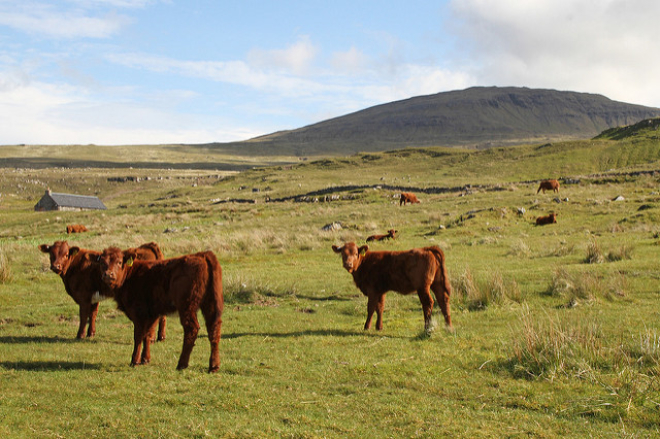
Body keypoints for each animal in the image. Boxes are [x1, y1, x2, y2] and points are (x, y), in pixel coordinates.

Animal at [38, 241, 166, 340]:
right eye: (51, 254)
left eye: (65, 255)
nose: (56, 266)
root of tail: (148, 245)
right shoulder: (94, 296)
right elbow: (93, 314)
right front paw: (91, 333)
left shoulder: (84, 296)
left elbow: (83, 315)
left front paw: (80, 335)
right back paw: (161, 337)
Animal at [95, 249, 224, 372]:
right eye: (102, 263)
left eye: (119, 262)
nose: (108, 274)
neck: (130, 276)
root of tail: (201, 255)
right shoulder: (152, 313)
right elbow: (148, 334)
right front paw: (145, 359)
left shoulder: (139, 313)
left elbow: (138, 336)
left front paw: (134, 361)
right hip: (210, 303)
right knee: (214, 329)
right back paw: (214, 366)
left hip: (187, 306)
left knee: (191, 329)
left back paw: (182, 364)